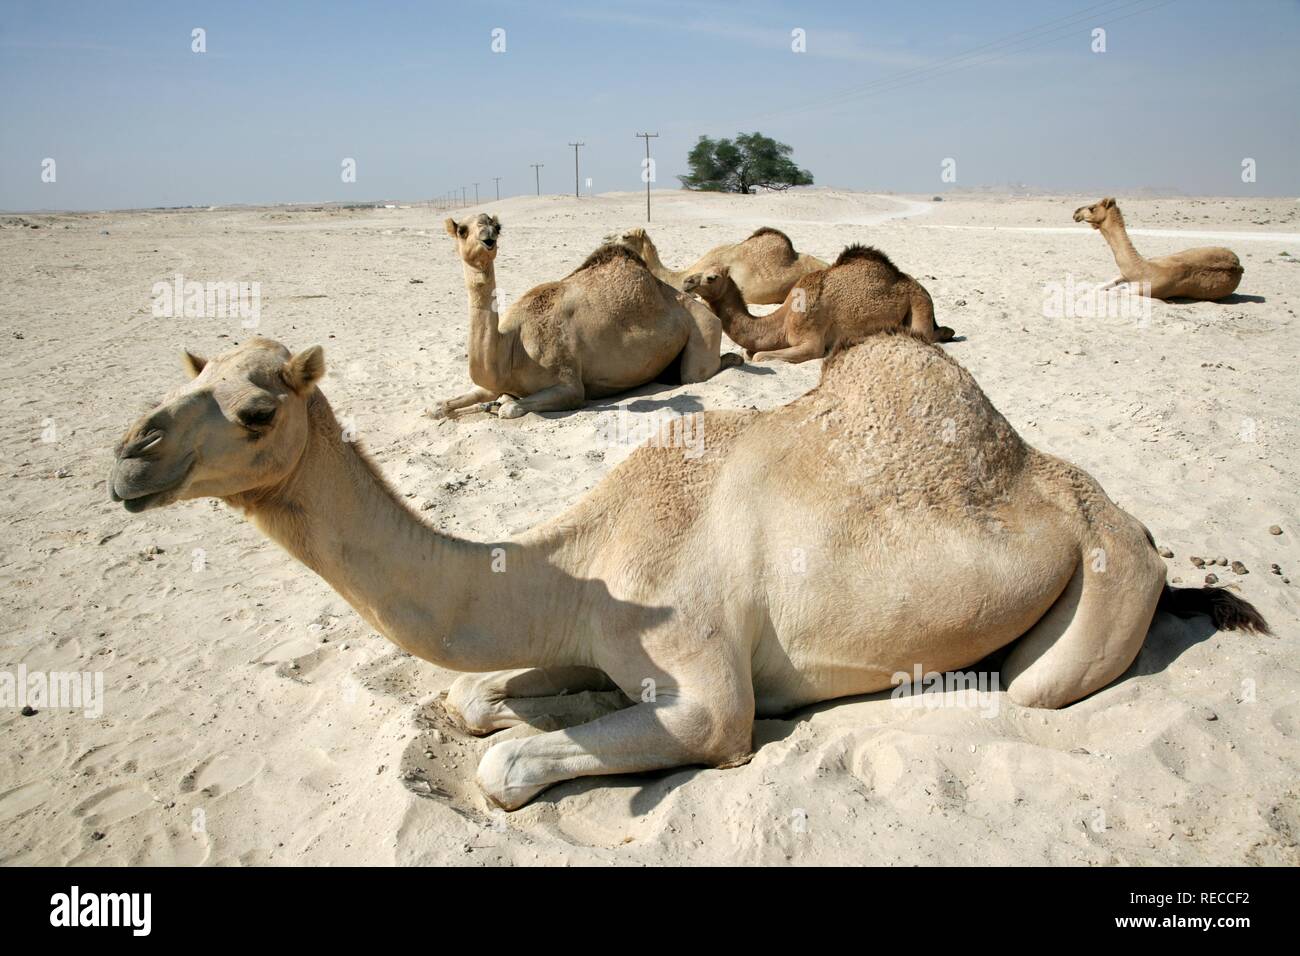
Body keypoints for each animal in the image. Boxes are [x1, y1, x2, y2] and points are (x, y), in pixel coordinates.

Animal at [111, 335, 1268, 806]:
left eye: (256, 409)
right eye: (195, 374)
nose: (128, 453)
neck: (587, 558)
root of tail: (1142, 527)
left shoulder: (708, 698)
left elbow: (505, 764)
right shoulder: (592, 634)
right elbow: (478, 696)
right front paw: (526, 701)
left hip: (1103, 583)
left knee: (1030, 687)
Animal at [434, 214, 738, 421]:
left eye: (497, 228)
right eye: (462, 230)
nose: (488, 238)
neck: (513, 347)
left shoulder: (569, 385)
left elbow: (510, 407)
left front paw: (500, 404)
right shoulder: (493, 383)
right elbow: (440, 406)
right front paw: (453, 406)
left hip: (705, 329)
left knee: (695, 373)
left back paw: (734, 358)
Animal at [681, 244, 956, 364]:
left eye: (712, 277)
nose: (686, 282)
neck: (783, 319)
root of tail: (916, 285)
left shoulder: (810, 341)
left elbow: (759, 356)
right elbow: (750, 351)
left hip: (919, 301)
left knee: (925, 333)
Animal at [1071, 195, 1242, 299]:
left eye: (1092, 208)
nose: (1076, 212)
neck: (1143, 269)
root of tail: (1239, 266)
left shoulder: (1144, 290)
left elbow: (1113, 290)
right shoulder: (1124, 274)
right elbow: (1099, 286)